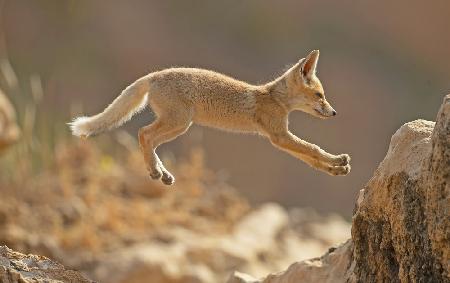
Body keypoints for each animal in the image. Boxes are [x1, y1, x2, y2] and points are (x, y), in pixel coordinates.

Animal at [70, 50, 352, 185]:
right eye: (319, 95)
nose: (334, 113)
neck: (273, 98)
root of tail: (154, 75)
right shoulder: (278, 136)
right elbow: (314, 149)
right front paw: (338, 160)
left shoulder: (279, 138)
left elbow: (311, 159)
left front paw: (335, 169)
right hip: (179, 123)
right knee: (143, 134)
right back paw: (155, 171)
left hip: (177, 126)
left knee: (148, 140)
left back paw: (161, 173)